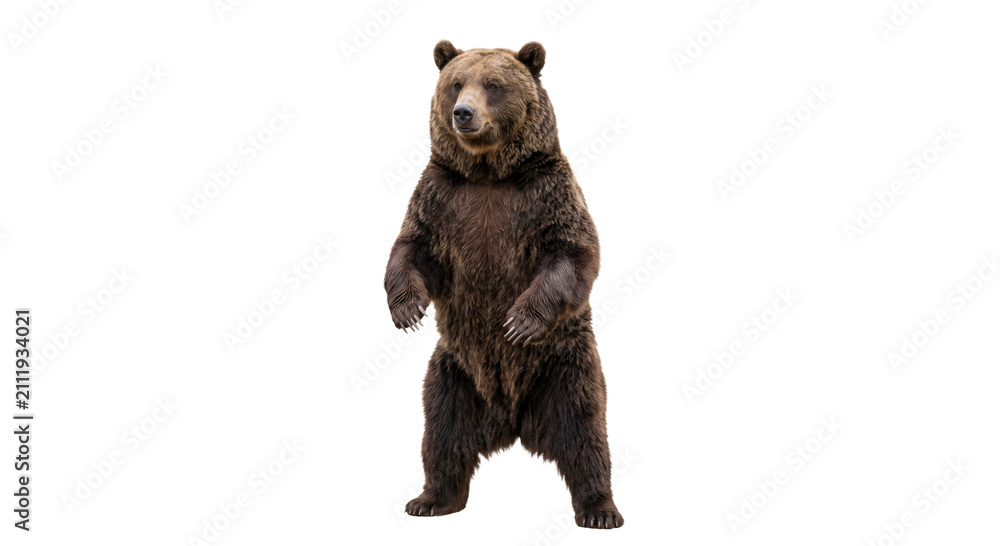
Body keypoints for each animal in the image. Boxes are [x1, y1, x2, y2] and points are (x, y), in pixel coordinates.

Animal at [384, 40, 623, 529]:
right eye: (457, 82)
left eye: (493, 84)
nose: (463, 112)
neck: (489, 172)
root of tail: (511, 422)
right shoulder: (442, 196)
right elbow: (412, 246)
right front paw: (407, 309)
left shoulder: (546, 192)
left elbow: (573, 251)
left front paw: (518, 321)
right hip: (453, 373)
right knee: (441, 433)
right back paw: (430, 499)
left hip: (566, 367)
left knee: (586, 432)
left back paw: (600, 509)